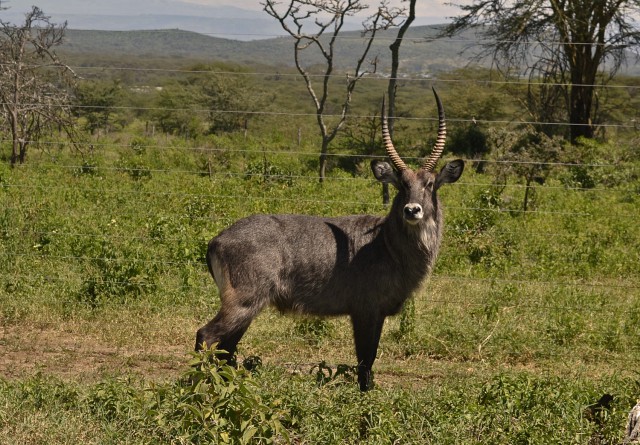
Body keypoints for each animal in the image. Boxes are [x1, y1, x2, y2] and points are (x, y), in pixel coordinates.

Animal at [198, 88, 462, 390]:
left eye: (429, 184)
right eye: (402, 185)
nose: (412, 210)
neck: (386, 244)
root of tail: (216, 240)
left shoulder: (376, 313)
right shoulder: (365, 310)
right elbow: (365, 361)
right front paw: (365, 400)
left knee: (226, 349)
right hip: (243, 302)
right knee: (206, 336)